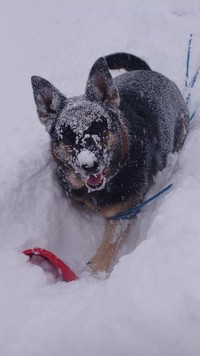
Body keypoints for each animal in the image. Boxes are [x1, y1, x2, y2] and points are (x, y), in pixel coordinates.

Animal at [31, 52, 189, 274]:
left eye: (99, 126)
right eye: (68, 136)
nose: (90, 165)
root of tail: (150, 72)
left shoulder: (124, 213)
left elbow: (109, 242)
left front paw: (95, 271)